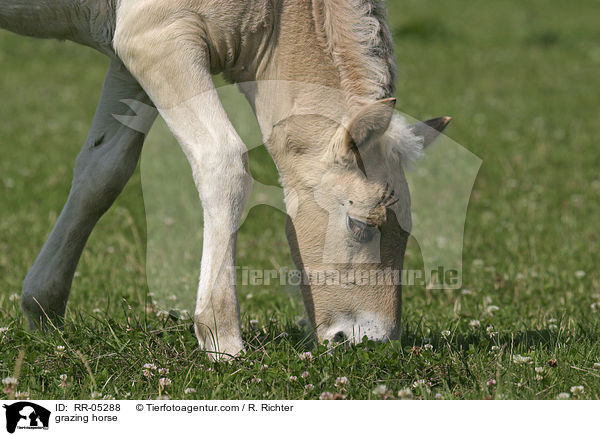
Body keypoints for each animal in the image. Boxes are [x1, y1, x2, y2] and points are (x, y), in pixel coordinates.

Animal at [1, 0, 450, 358]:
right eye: (359, 224)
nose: (370, 341)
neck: (280, 12)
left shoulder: (127, 54)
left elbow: (103, 172)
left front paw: (43, 309)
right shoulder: (158, 38)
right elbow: (224, 161)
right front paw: (222, 340)